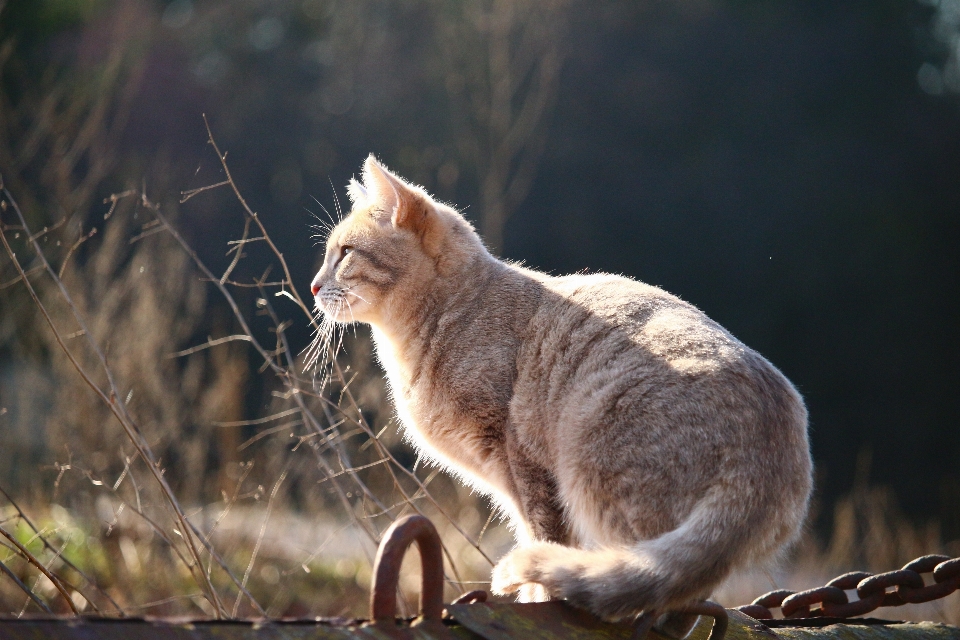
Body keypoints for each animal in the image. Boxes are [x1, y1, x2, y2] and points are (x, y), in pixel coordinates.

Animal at [312, 155, 812, 624]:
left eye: (346, 253)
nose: (314, 286)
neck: (450, 313)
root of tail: (773, 438)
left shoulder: (523, 465)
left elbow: (542, 536)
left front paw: (536, 598)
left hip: (601, 478)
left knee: (647, 581)